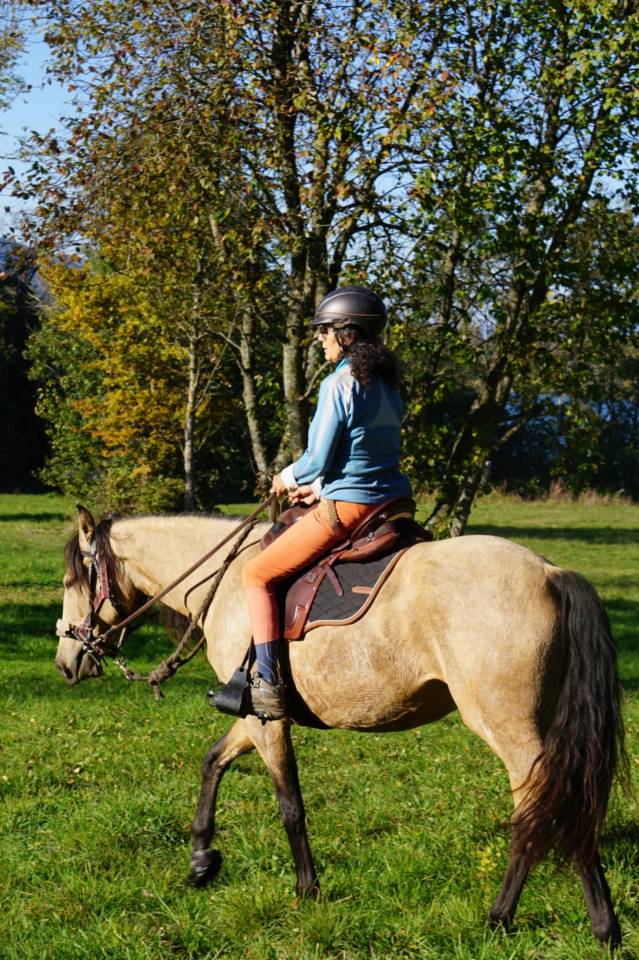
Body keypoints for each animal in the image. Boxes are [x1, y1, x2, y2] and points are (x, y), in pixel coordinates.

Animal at [54, 505, 628, 948]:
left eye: (70, 582)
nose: (65, 661)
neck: (228, 583)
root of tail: (553, 573)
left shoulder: (267, 722)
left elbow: (290, 805)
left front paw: (307, 888)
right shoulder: (251, 718)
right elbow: (212, 762)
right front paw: (201, 860)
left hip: (509, 730)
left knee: (540, 808)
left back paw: (505, 917)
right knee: (571, 804)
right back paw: (603, 927)